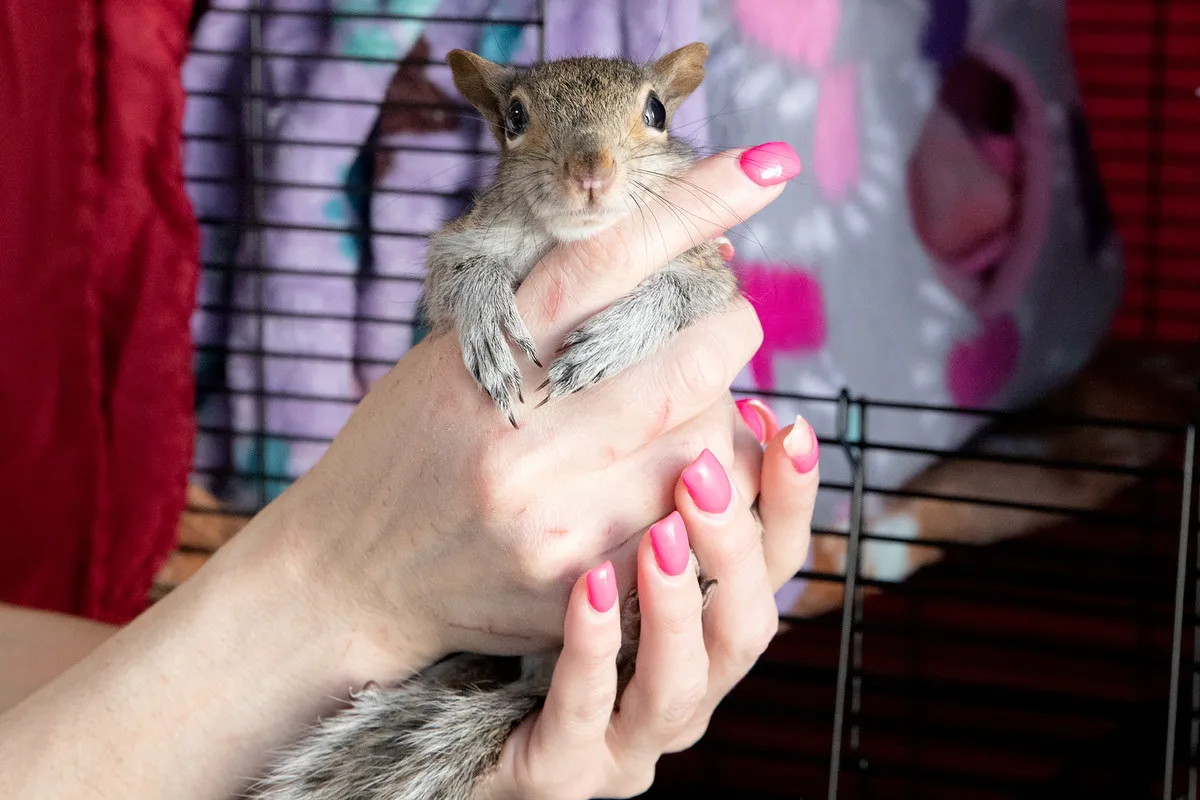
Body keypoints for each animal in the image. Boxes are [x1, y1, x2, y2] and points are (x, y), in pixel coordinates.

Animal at [249, 42, 734, 800]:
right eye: (514, 119)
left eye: (656, 111)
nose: (590, 171)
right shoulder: (458, 245)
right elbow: (457, 279)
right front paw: (484, 316)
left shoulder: (711, 272)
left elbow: (689, 295)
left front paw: (615, 339)